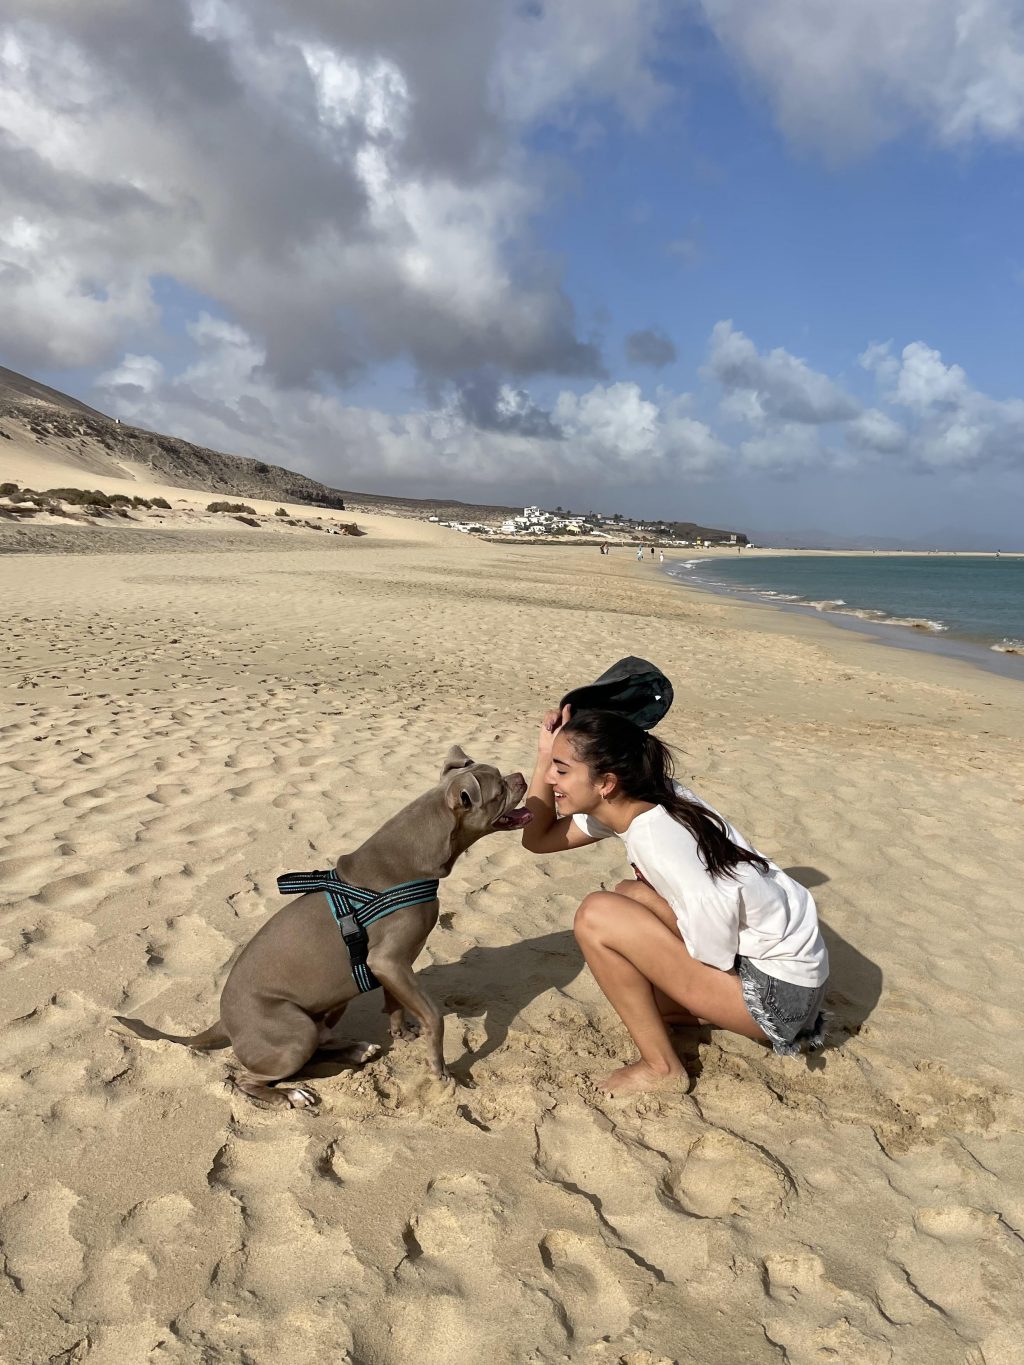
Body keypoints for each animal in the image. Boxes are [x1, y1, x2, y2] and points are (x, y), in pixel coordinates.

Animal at [117, 748, 532, 1108]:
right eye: (498, 790)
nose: (522, 776)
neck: (417, 852)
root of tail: (224, 1022)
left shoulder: (390, 965)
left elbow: (395, 1002)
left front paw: (401, 1032)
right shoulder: (389, 961)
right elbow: (434, 1016)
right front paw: (439, 1069)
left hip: (331, 1003)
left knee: (318, 1044)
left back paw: (355, 1048)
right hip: (293, 1030)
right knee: (251, 1078)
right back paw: (291, 1094)